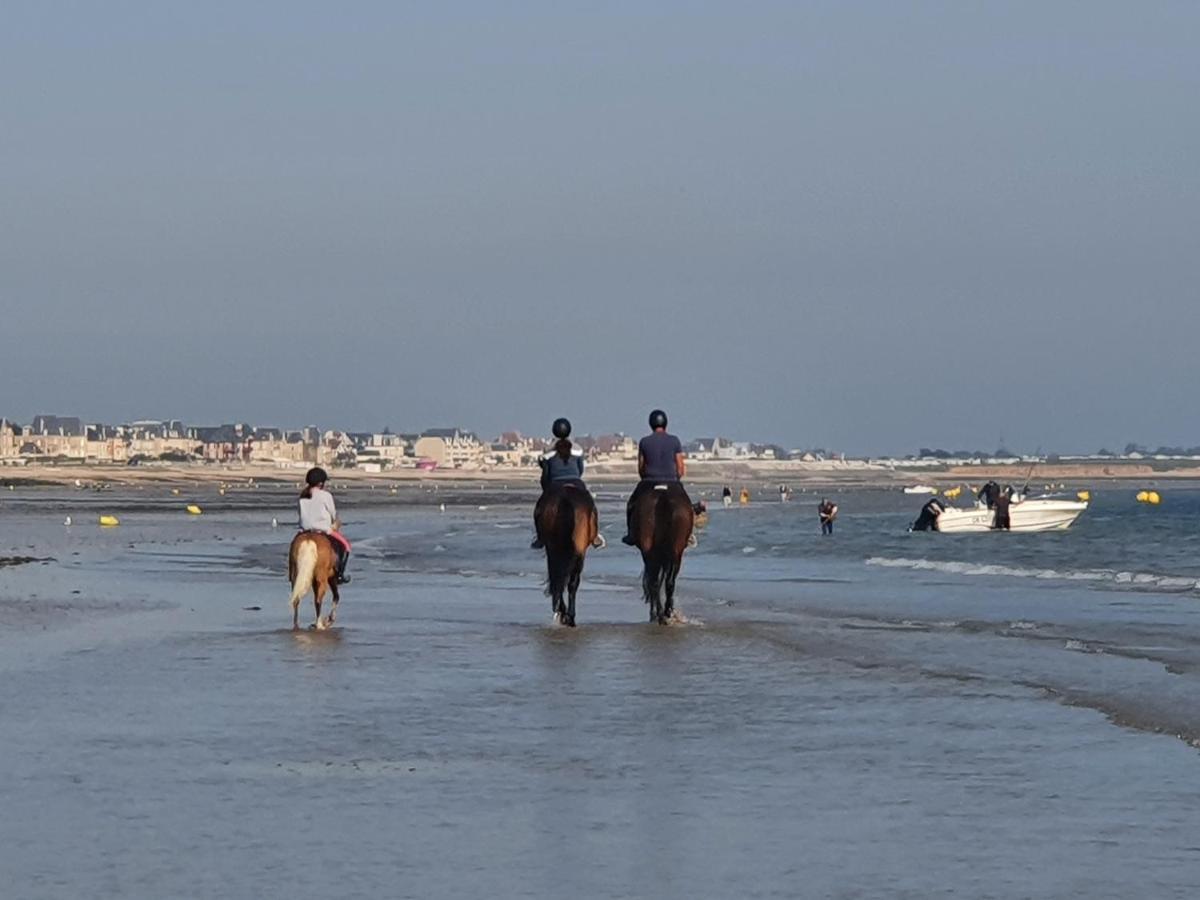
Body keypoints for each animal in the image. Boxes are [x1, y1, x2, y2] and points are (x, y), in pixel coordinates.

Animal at [535, 487, 600, 628]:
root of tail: (565, 500)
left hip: (554, 550)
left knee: (558, 579)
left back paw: (563, 612)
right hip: (577, 554)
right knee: (570, 583)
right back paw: (570, 616)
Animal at [628, 482, 696, 624]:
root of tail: (663, 498)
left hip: (651, 552)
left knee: (654, 581)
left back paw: (658, 613)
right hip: (675, 552)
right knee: (668, 581)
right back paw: (666, 612)